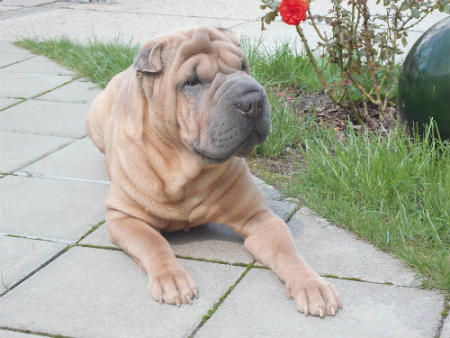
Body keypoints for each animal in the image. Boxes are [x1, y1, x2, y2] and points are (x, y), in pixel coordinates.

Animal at [86, 26, 342, 316]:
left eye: (243, 66)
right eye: (192, 82)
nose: (253, 99)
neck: (186, 168)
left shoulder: (259, 217)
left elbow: (286, 250)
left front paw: (312, 285)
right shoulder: (123, 217)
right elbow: (153, 242)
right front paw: (172, 278)